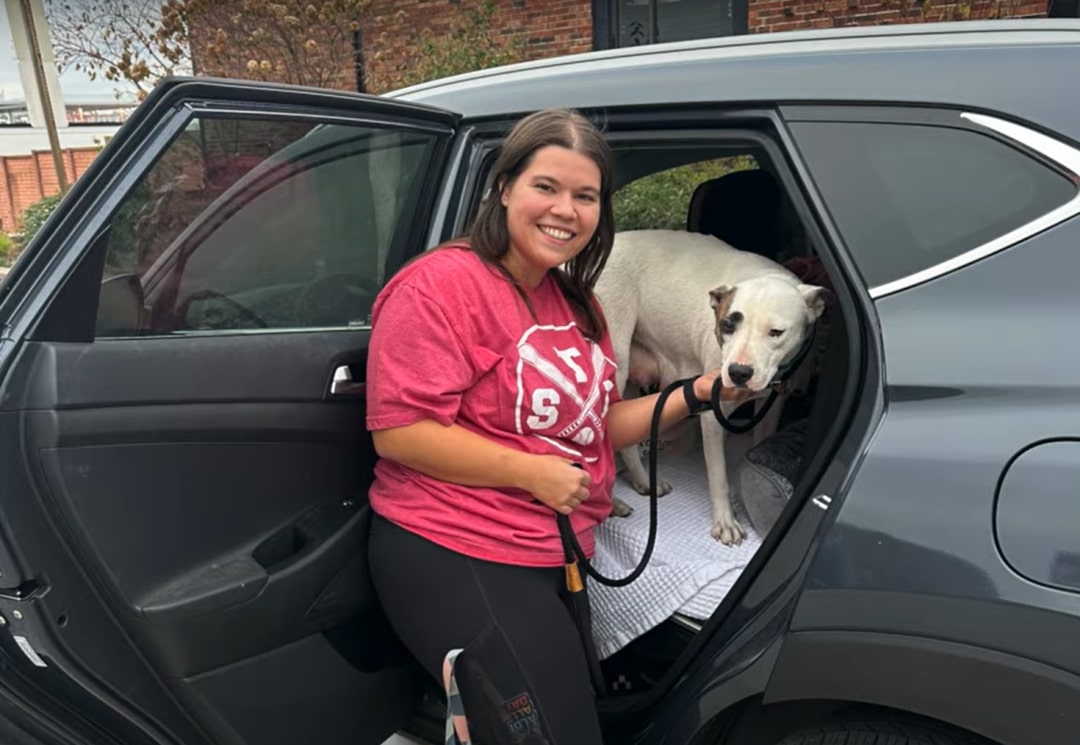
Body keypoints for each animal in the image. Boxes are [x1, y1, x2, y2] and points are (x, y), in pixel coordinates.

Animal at [591, 228, 825, 542]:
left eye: (776, 332)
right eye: (727, 325)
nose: (738, 372)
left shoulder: (771, 404)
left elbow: (762, 436)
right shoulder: (713, 415)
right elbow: (718, 475)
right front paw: (725, 522)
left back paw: (642, 482)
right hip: (615, 358)